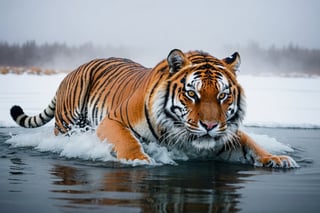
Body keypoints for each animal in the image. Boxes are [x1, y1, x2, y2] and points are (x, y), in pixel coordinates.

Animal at [10, 48, 300, 168]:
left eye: (222, 96)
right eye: (192, 94)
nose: (209, 126)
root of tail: (73, 69)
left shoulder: (227, 132)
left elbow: (253, 144)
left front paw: (277, 159)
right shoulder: (113, 121)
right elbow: (127, 140)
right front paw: (139, 161)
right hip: (68, 122)